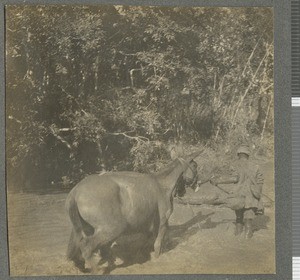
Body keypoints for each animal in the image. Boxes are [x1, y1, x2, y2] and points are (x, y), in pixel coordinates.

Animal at [65, 151, 202, 274]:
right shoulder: (163, 221)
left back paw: (81, 265)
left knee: (79, 246)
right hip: (113, 228)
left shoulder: (150, 223)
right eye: (195, 166)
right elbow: (158, 241)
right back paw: (96, 270)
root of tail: (76, 191)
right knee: (87, 247)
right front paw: (158, 257)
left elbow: (149, 240)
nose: (198, 184)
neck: (162, 184)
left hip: (84, 228)